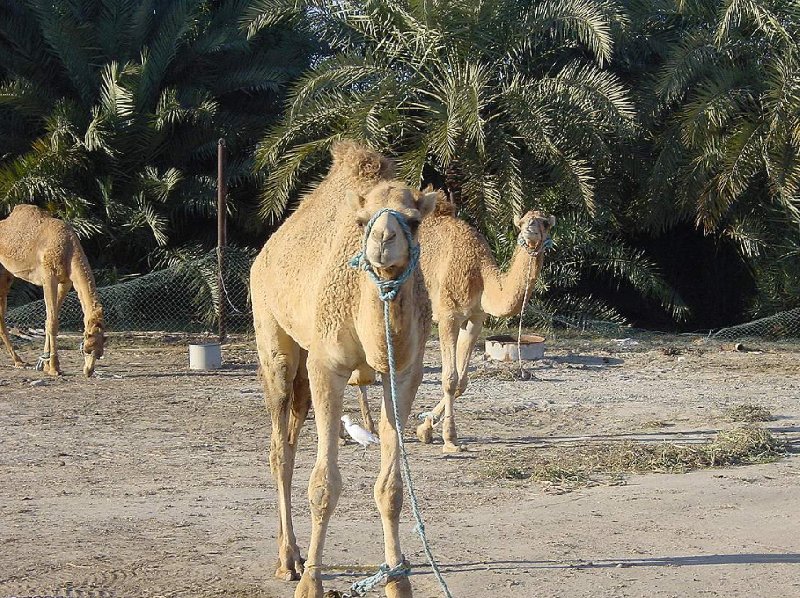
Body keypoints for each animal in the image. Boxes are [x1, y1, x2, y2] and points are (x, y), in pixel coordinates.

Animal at [0, 204, 106, 378]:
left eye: (100, 353)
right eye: (87, 349)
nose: (89, 372)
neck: (69, 250)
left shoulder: (66, 282)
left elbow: (49, 319)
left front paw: (45, 365)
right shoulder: (48, 277)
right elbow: (52, 322)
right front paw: (54, 367)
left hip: (8, 274)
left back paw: (19, 360)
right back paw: (18, 361)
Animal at [252, 142, 434, 598]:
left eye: (413, 220)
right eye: (362, 220)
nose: (383, 239)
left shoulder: (404, 372)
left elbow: (391, 489)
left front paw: (398, 581)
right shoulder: (327, 365)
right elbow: (324, 486)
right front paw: (312, 583)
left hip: (303, 362)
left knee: (291, 437)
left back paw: (294, 554)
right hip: (274, 338)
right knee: (279, 448)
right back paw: (289, 561)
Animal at [350, 199, 556, 452]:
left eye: (544, 222)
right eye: (523, 221)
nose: (531, 230)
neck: (481, 275)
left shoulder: (475, 319)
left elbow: (462, 382)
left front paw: (425, 429)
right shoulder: (449, 316)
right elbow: (449, 378)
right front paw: (450, 439)